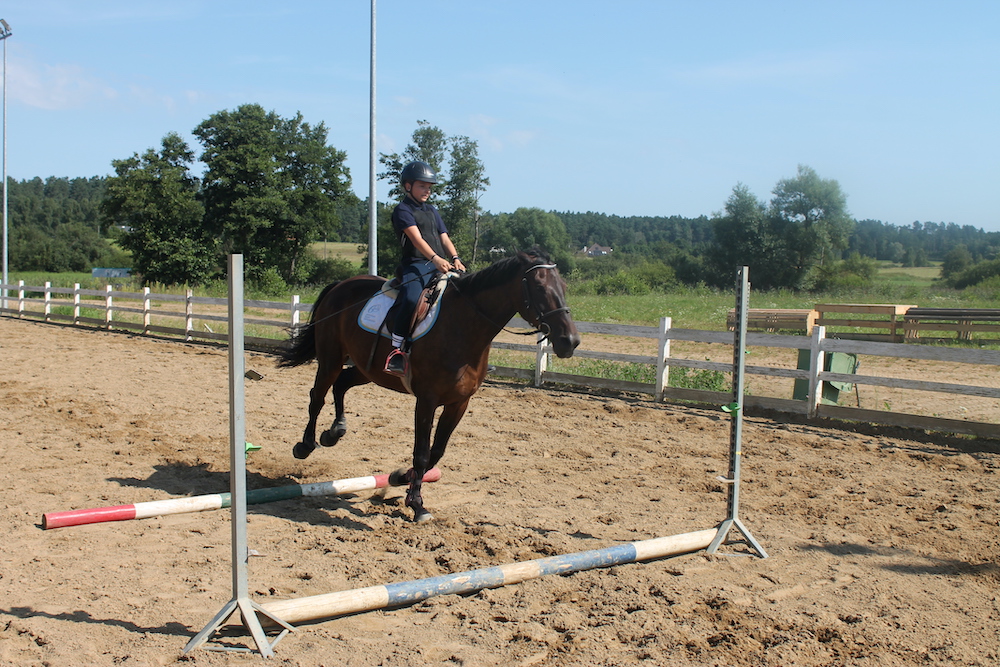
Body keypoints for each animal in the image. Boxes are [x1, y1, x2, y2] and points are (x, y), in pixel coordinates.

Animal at [279, 248, 580, 522]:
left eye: (564, 287)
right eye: (539, 287)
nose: (570, 341)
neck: (463, 326)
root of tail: (341, 285)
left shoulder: (459, 403)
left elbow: (436, 452)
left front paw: (402, 477)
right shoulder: (426, 400)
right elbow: (422, 453)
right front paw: (417, 504)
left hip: (368, 369)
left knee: (341, 385)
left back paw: (334, 432)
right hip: (331, 358)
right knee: (317, 396)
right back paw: (305, 445)